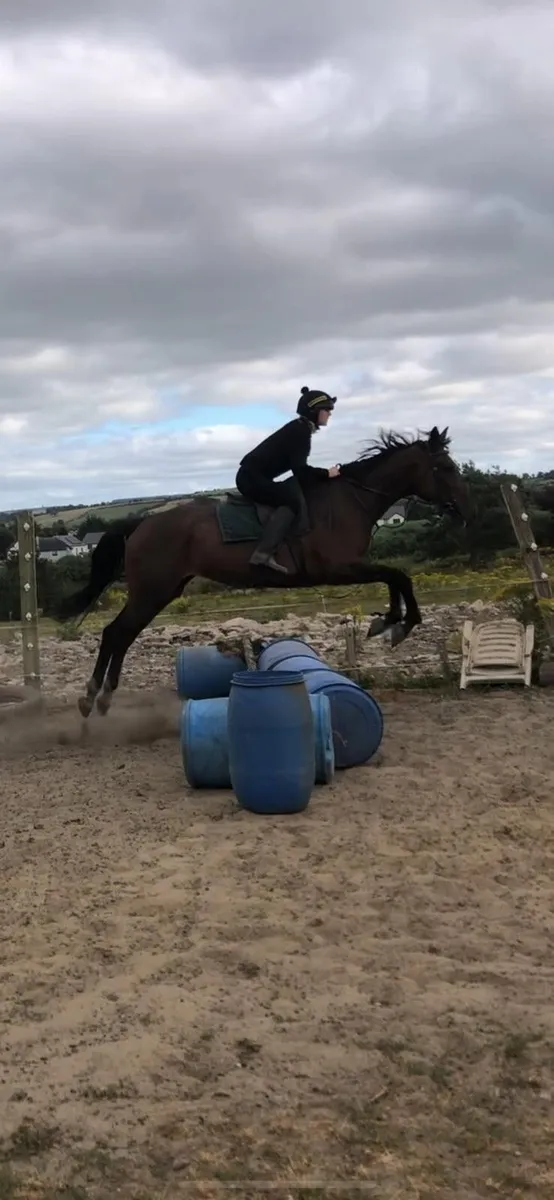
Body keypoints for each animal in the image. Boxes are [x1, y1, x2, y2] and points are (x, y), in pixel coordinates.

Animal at [56, 425, 472, 718]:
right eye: (444, 467)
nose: (463, 508)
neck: (351, 500)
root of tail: (140, 524)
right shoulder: (339, 568)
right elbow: (398, 575)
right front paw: (398, 625)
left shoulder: (350, 568)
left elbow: (395, 577)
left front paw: (387, 621)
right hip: (152, 590)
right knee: (116, 633)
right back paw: (92, 697)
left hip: (162, 590)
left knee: (123, 635)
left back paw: (102, 699)